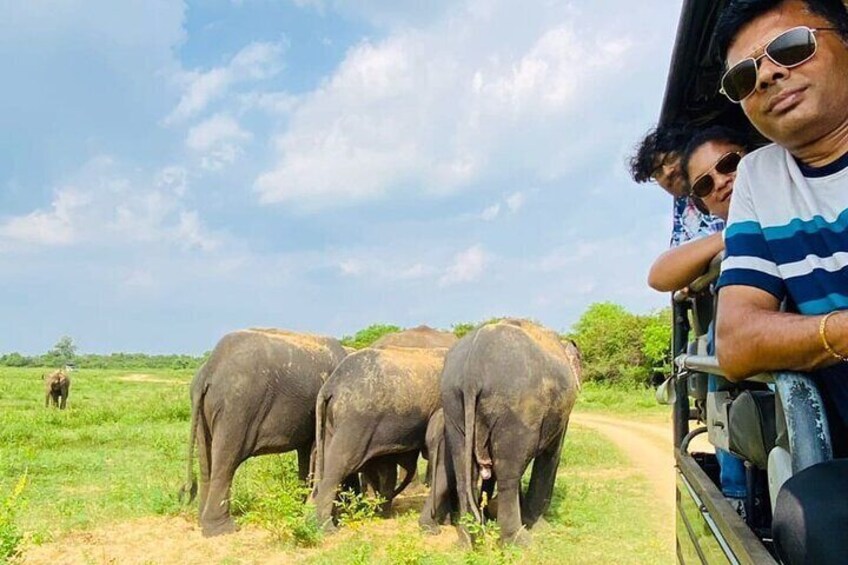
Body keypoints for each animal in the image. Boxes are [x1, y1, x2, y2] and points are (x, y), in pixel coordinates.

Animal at [181, 328, 348, 536]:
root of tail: (209, 370)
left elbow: (307, 452)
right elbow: (317, 451)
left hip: (204, 411)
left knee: (207, 462)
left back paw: (203, 522)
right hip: (237, 407)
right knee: (226, 461)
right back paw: (223, 530)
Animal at [438, 320, 584, 544]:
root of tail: (472, 373)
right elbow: (552, 455)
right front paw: (539, 525)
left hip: (453, 402)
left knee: (463, 469)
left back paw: (468, 538)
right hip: (516, 410)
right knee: (509, 473)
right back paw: (519, 541)